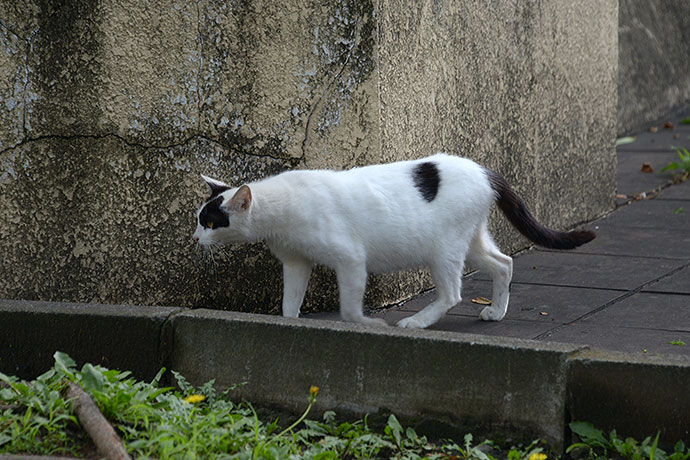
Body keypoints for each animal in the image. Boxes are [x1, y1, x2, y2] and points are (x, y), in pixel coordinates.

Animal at [192, 154, 592, 328]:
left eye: (210, 222)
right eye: (199, 220)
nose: (195, 238)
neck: (283, 206)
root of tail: (483, 170)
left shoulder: (351, 259)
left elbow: (349, 307)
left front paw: (367, 324)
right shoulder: (296, 262)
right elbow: (289, 303)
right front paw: (291, 322)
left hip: (444, 250)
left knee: (453, 294)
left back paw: (415, 323)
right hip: (471, 243)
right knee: (504, 263)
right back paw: (496, 311)